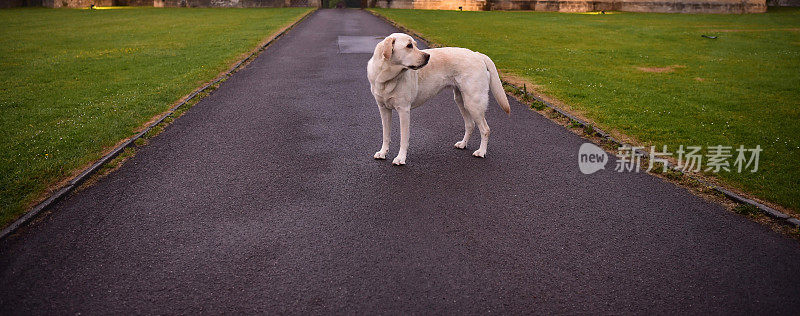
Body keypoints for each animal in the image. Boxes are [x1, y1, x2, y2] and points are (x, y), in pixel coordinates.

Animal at [368, 32, 510, 165]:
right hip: (461, 100)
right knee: (470, 125)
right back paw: (463, 144)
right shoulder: (383, 109)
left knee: (485, 129)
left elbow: (404, 138)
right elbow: (386, 134)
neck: (387, 77)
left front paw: (400, 158)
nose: (427, 56)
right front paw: (383, 152)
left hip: (473, 102)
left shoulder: (404, 110)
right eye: (409, 46)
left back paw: (481, 152)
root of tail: (477, 54)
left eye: (415, 44)